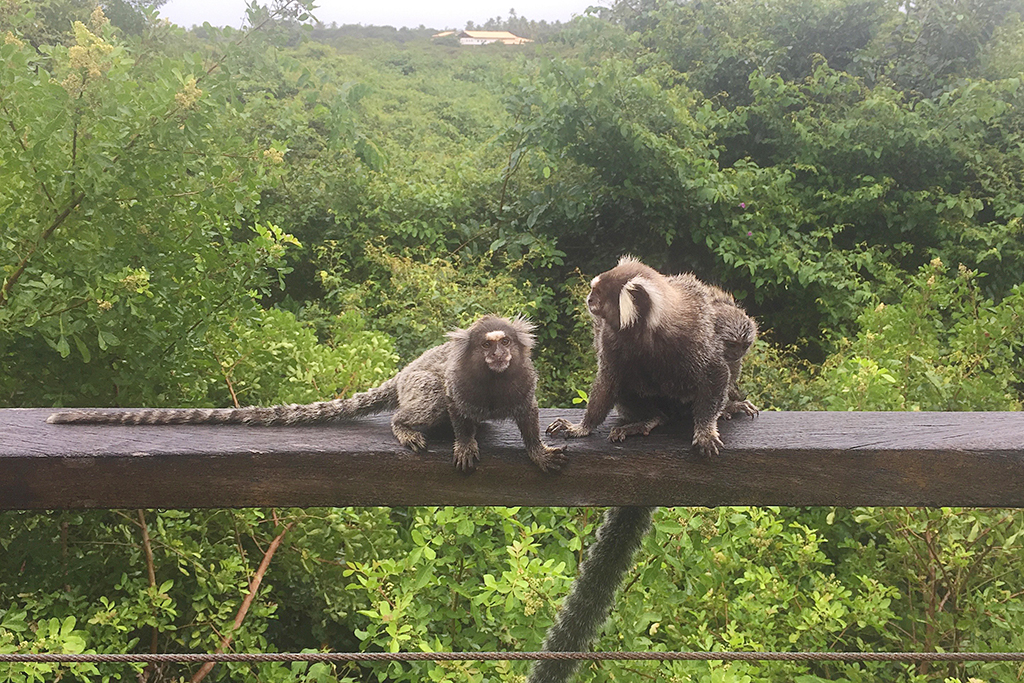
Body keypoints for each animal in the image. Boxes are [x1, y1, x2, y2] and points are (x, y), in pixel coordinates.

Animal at [49, 317, 569, 473]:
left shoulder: (523, 385)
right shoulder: (459, 385)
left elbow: (527, 417)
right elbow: (455, 405)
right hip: (415, 387)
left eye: (506, 343)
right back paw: (404, 426)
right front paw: (463, 442)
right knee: (424, 401)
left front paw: (537, 452)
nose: (499, 355)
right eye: (487, 345)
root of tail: (399, 374)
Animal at [548, 259, 757, 456]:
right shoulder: (609, 337)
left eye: (598, 293)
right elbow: (608, 380)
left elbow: (716, 373)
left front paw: (705, 431)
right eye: (593, 290)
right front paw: (582, 427)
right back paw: (650, 419)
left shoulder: (695, 335)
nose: (589, 299)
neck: (646, 331)